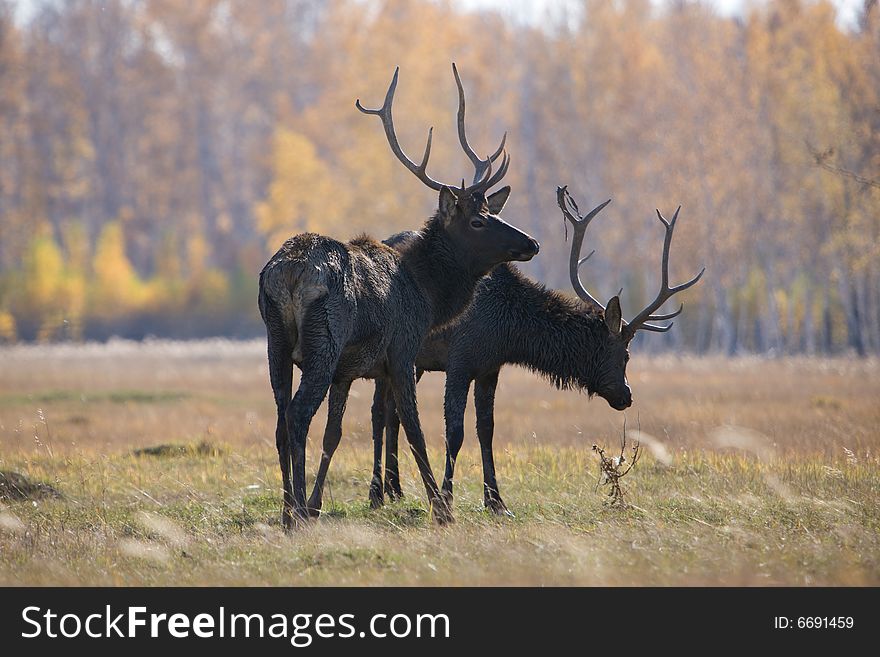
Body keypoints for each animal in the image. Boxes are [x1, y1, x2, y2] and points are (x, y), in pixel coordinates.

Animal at [258, 64, 540, 528]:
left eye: (492, 211)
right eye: (478, 221)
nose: (531, 242)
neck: (427, 293)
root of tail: (290, 271)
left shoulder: (349, 371)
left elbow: (336, 433)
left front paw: (318, 503)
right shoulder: (403, 350)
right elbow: (415, 429)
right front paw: (441, 508)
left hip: (276, 344)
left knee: (281, 419)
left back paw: (288, 509)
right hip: (323, 342)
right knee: (297, 416)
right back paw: (294, 511)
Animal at [368, 186, 704, 516]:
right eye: (625, 355)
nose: (626, 396)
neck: (505, 330)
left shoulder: (490, 367)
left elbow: (486, 429)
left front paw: (496, 502)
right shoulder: (460, 361)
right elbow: (455, 431)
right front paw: (447, 498)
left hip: (415, 363)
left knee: (395, 413)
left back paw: (395, 489)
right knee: (380, 413)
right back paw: (377, 493)